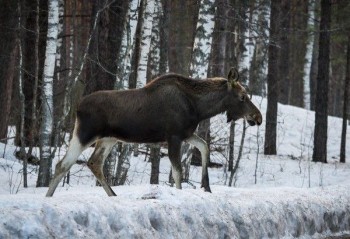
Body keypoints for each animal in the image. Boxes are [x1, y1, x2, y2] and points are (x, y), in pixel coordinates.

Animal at [45, 67, 262, 196]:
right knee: (62, 164)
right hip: (85, 134)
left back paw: (113, 194)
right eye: (242, 96)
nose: (258, 117)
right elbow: (177, 171)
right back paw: (49, 196)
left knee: (93, 163)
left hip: (108, 139)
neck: (199, 108)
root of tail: (77, 106)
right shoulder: (173, 136)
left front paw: (206, 186)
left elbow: (204, 147)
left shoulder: (185, 134)